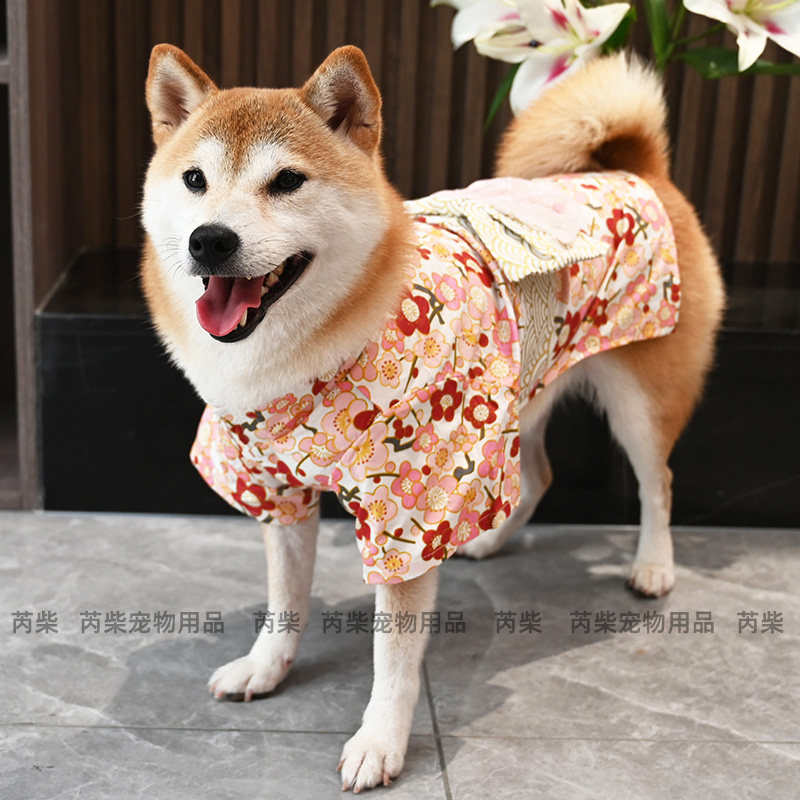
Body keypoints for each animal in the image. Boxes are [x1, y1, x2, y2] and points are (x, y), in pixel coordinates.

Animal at [141, 44, 724, 791]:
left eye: (287, 181)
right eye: (194, 180)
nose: (209, 240)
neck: (309, 357)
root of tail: (639, 169)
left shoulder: (407, 512)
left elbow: (393, 656)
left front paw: (379, 743)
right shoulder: (277, 489)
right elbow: (284, 602)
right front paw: (266, 668)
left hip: (639, 402)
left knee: (658, 482)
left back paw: (653, 566)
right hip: (519, 384)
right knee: (538, 473)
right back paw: (489, 540)